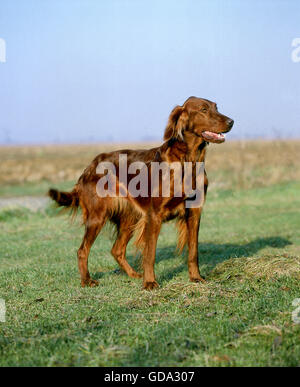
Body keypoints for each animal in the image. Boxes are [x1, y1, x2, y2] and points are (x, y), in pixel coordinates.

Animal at [48, 97, 234, 292]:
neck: (188, 160)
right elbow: (150, 253)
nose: (231, 122)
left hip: (130, 217)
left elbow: (193, 251)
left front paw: (196, 278)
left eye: (216, 107)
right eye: (203, 109)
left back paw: (133, 275)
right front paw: (150, 283)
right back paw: (87, 280)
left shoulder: (194, 212)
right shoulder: (154, 215)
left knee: (117, 249)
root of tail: (89, 167)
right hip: (97, 216)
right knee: (83, 250)